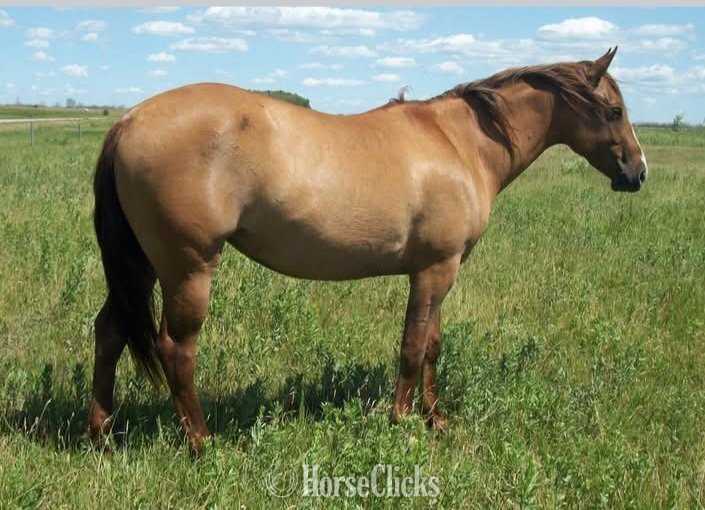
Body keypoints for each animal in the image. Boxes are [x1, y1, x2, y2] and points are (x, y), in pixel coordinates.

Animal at [87, 47, 647, 453]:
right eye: (614, 110)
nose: (637, 173)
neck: (457, 143)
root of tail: (128, 121)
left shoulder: (439, 270)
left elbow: (433, 346)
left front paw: (435, 420)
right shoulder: (435, 271)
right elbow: (413, 346)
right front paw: (402, 421)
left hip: (144, 264)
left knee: (110, 331)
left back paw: (102, 434)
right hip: (188, 268)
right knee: (176, 350)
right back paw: (202, 443)